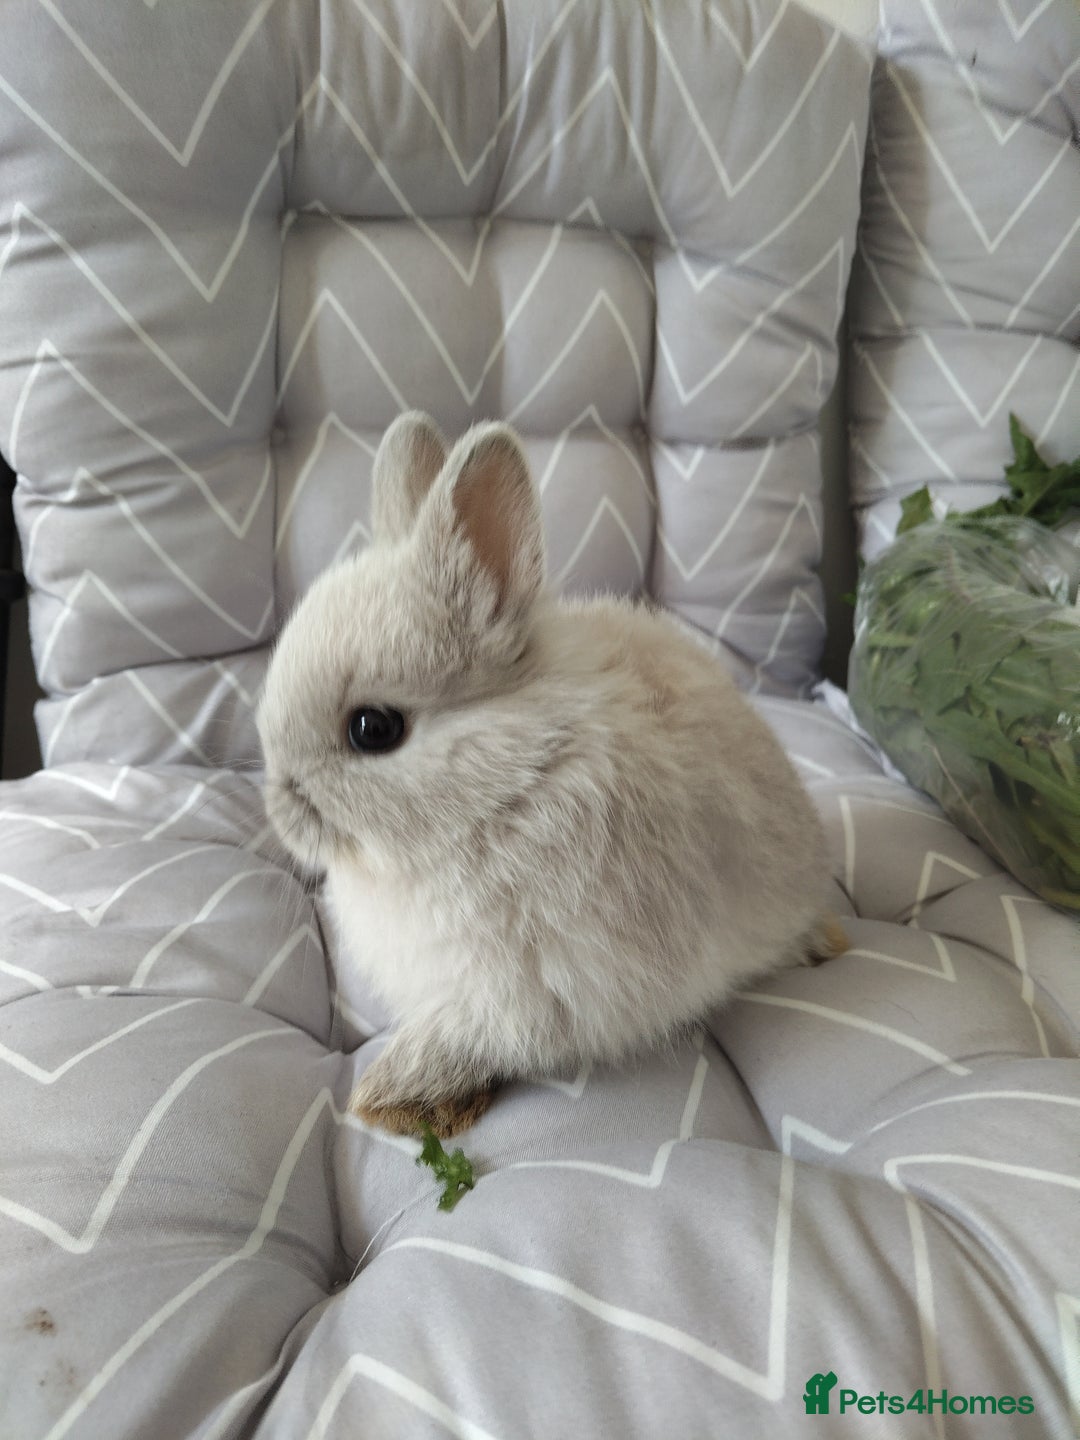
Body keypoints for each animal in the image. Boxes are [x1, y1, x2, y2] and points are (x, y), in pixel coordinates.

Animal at [257, 412, 843, 1137]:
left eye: (374, 729)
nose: (279, 807)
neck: (510, 782)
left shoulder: (534, 989)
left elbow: (477, 1038)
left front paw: (395, 1094)